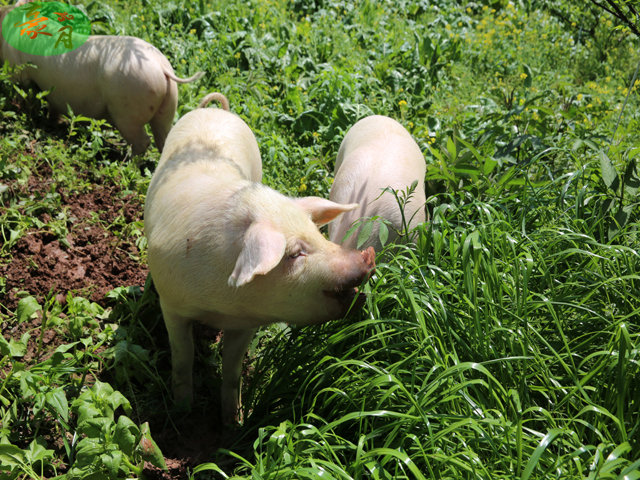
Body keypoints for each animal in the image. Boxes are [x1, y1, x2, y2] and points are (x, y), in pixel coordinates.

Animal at [0, 4, 202, 157]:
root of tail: (161, 67)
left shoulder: (18, 72)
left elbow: (27, 96)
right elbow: (51, 105)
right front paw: (53, 123)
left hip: (128, 106)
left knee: (142, 140)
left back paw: (128, 163)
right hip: (168, 103)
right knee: (164, 135)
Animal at [145, 93, 376, 424]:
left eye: (318, 235)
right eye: (294, 253)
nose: (368, 256)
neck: (220, 303)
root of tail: (217, 111)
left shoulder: (246, 323)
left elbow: (232, 371)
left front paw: (235, 421)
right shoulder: (172, 305)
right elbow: (183, 358)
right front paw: (184, 411)